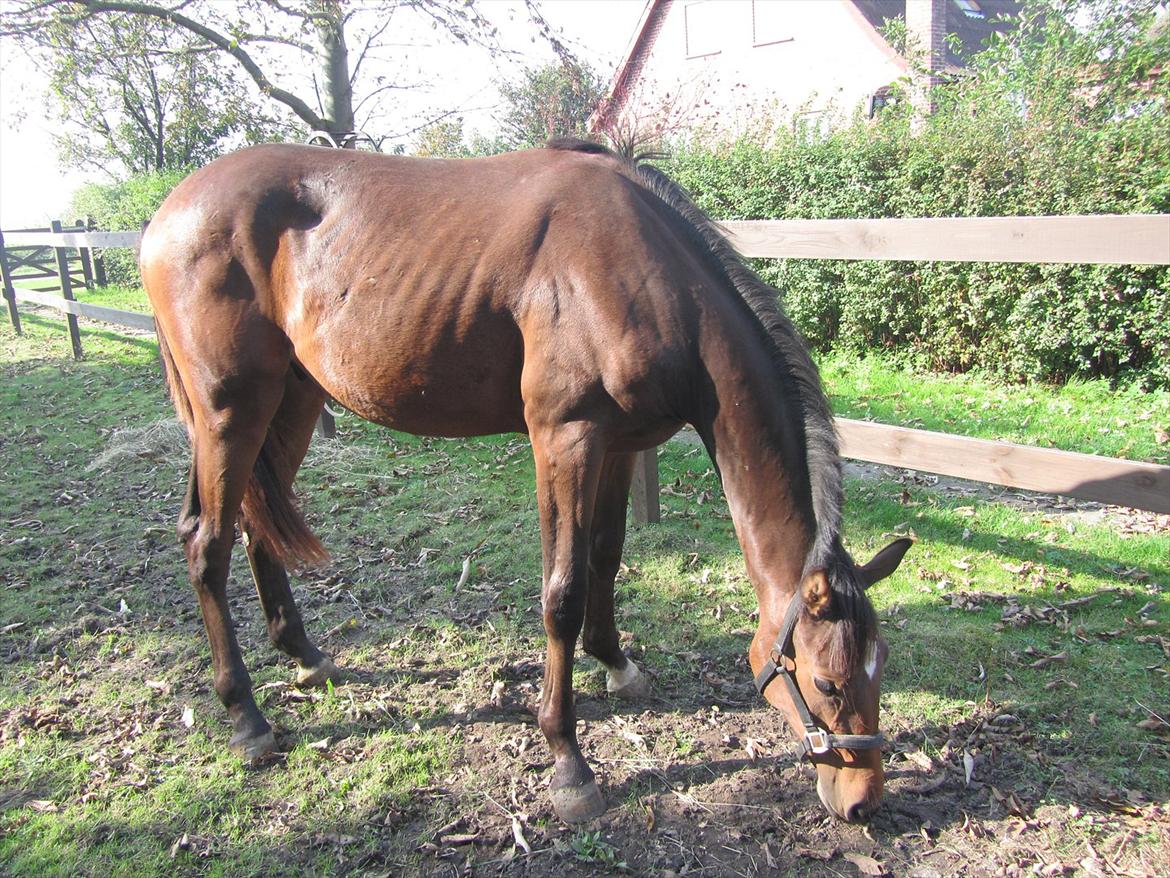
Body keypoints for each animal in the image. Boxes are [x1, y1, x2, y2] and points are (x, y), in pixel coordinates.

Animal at [141, 139, 912, 824]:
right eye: (828, 680)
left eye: (882, 668)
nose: (864, 801)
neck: (646, 271)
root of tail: (166, 215)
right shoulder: (565, 438)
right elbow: (562, 594)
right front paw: (569, 763)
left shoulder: (620, 444)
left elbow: (605, 557)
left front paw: (617, 664)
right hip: (229, 411)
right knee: (206, 543)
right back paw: (246, 718)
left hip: (291, 400)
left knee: (255, 527)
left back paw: (303, 656)